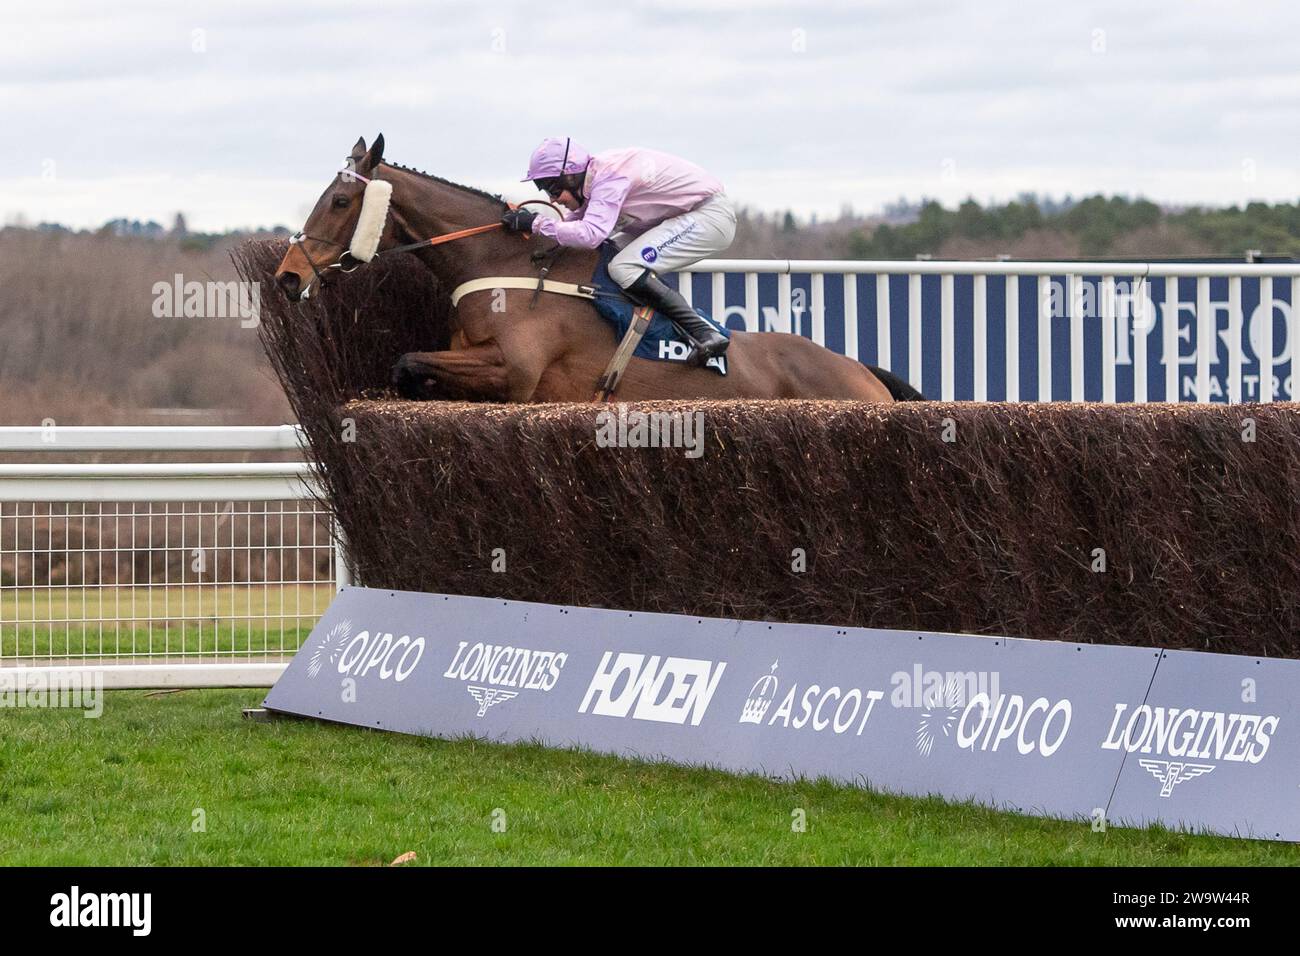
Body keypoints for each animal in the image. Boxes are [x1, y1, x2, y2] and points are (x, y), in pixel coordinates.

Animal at [274, 133, 925, 403]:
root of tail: (860, 372)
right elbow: (410, 368)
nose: (287, 276)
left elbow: (407, 362)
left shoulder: (517, 371)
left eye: (340, 200)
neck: (501, 263)